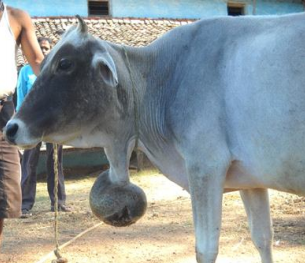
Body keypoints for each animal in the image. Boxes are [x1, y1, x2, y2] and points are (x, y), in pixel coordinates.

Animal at [4, 14, 305, 263]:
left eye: (64, 63)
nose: (11, 128)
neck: (161, 79)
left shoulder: (205, 167)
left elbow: (205, 249)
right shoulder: (252, 180)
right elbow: (262, 239)